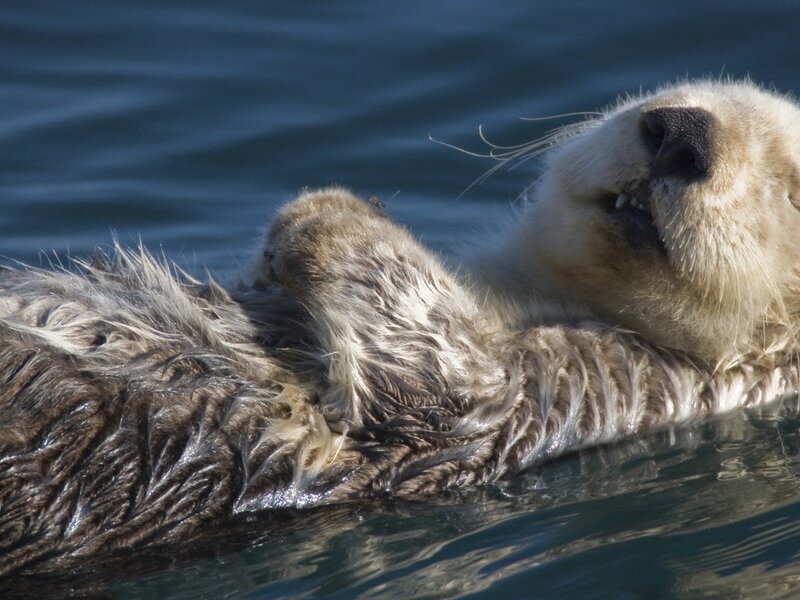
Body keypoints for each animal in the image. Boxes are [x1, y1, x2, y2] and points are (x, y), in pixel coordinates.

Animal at [1, 80, 799, 575]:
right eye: (678, 97)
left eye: (791, 187)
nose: (681, 131)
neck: (527, 291)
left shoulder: (591, 384)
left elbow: (442, 378)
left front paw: (324, 210)